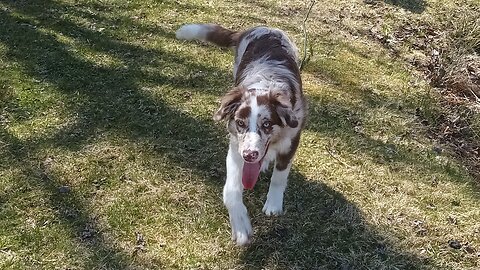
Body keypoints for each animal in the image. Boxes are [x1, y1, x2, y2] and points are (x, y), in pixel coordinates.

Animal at [176, 24, 308, 246]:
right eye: (240, 123)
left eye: (267, 124)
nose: (250, 155)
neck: (266, 85)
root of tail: (258, 27)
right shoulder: (236, 146)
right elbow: (230, 189)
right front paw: (240, 226)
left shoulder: (291, 139)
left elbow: (279, 176)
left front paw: (273, 204)